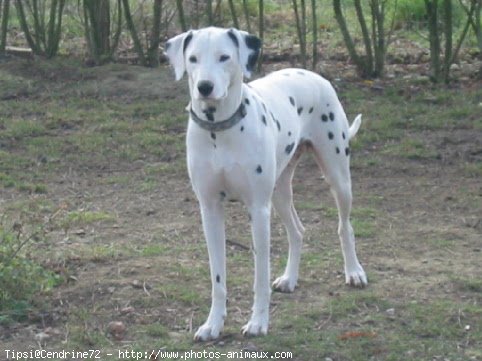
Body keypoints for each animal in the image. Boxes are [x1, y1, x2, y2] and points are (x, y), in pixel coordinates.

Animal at [164, 26, 368, 338]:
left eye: (224, 57)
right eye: (193, 58)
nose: (205, 87)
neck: (219, 131)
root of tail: (314, 74)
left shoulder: (258, 211)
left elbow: (260, 275)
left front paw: (258, 322)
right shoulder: (210, 211)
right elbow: (217, 277)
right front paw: (213, 324)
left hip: (338, 178)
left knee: (345, 227)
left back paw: (354, 271)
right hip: (280, 193)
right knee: (297, 231)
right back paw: (289, 278)